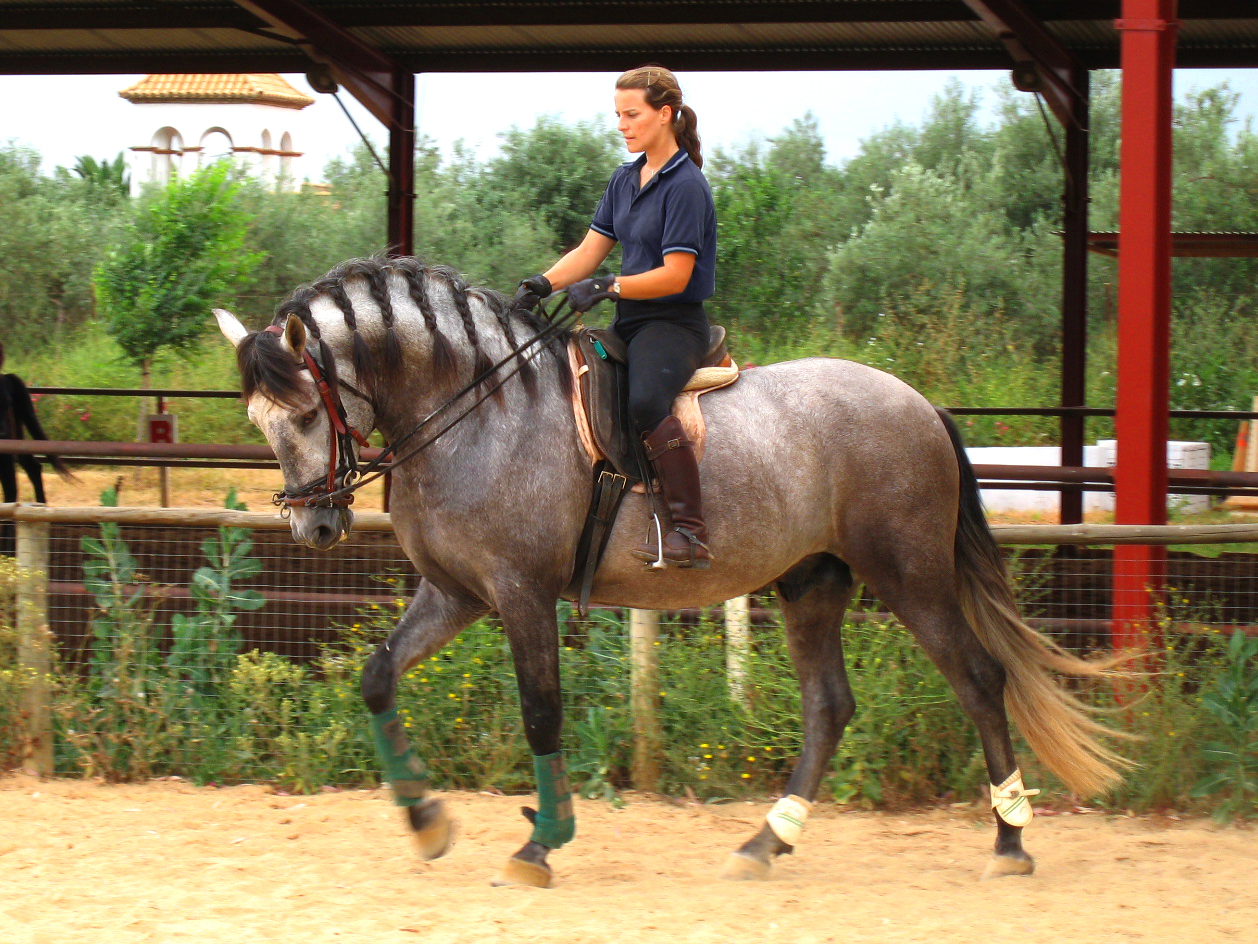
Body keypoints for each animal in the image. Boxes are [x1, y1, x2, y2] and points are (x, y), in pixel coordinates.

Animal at [211, 256, 1127, 886]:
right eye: (257, 421)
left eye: (306, 413)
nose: (314, 524)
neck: (474, 410)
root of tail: (918, 403)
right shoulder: (458, 593)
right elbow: (377, 678)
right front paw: (426, 820)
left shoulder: (520, 595)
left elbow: (541, 713)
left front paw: (541, 843)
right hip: (813, 581)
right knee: (830, 707)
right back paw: (765, 843)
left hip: (908, 573)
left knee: (977, 678)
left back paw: (1009, 841)